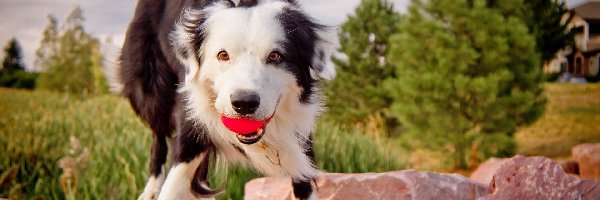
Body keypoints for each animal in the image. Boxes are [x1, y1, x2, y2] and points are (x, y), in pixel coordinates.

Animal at [108, 0, 338, 198]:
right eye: (223, 55)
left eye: (275, 56)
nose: (244, 103)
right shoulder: (190, 119)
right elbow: (175, 176)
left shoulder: (299, 134)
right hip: (151, 88)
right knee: (158, 136)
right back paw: (151, 188)